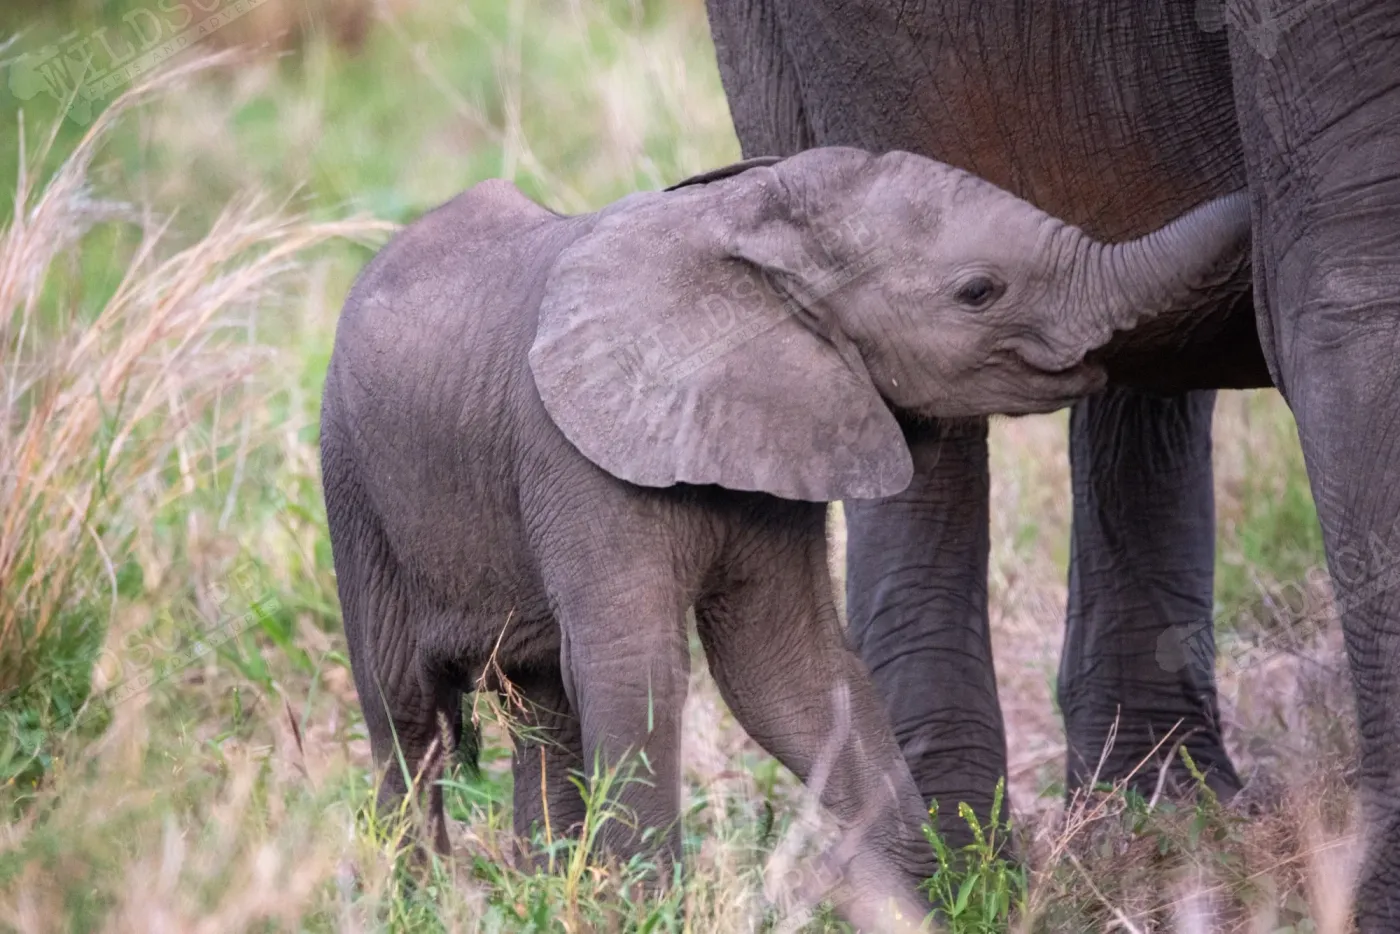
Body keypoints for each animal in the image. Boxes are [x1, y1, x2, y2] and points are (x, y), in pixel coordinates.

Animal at [319, 144, 1250, 922]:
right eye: (978, 291)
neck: (744, 224)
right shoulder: (575, 460)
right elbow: (637, 670)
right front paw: (647, 913)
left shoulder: (793, 432)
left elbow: (790, 670)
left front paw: (925, 895)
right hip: (352, 486)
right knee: (406, 717)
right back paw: (418, 900)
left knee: (539, 708)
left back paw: (546, 891)